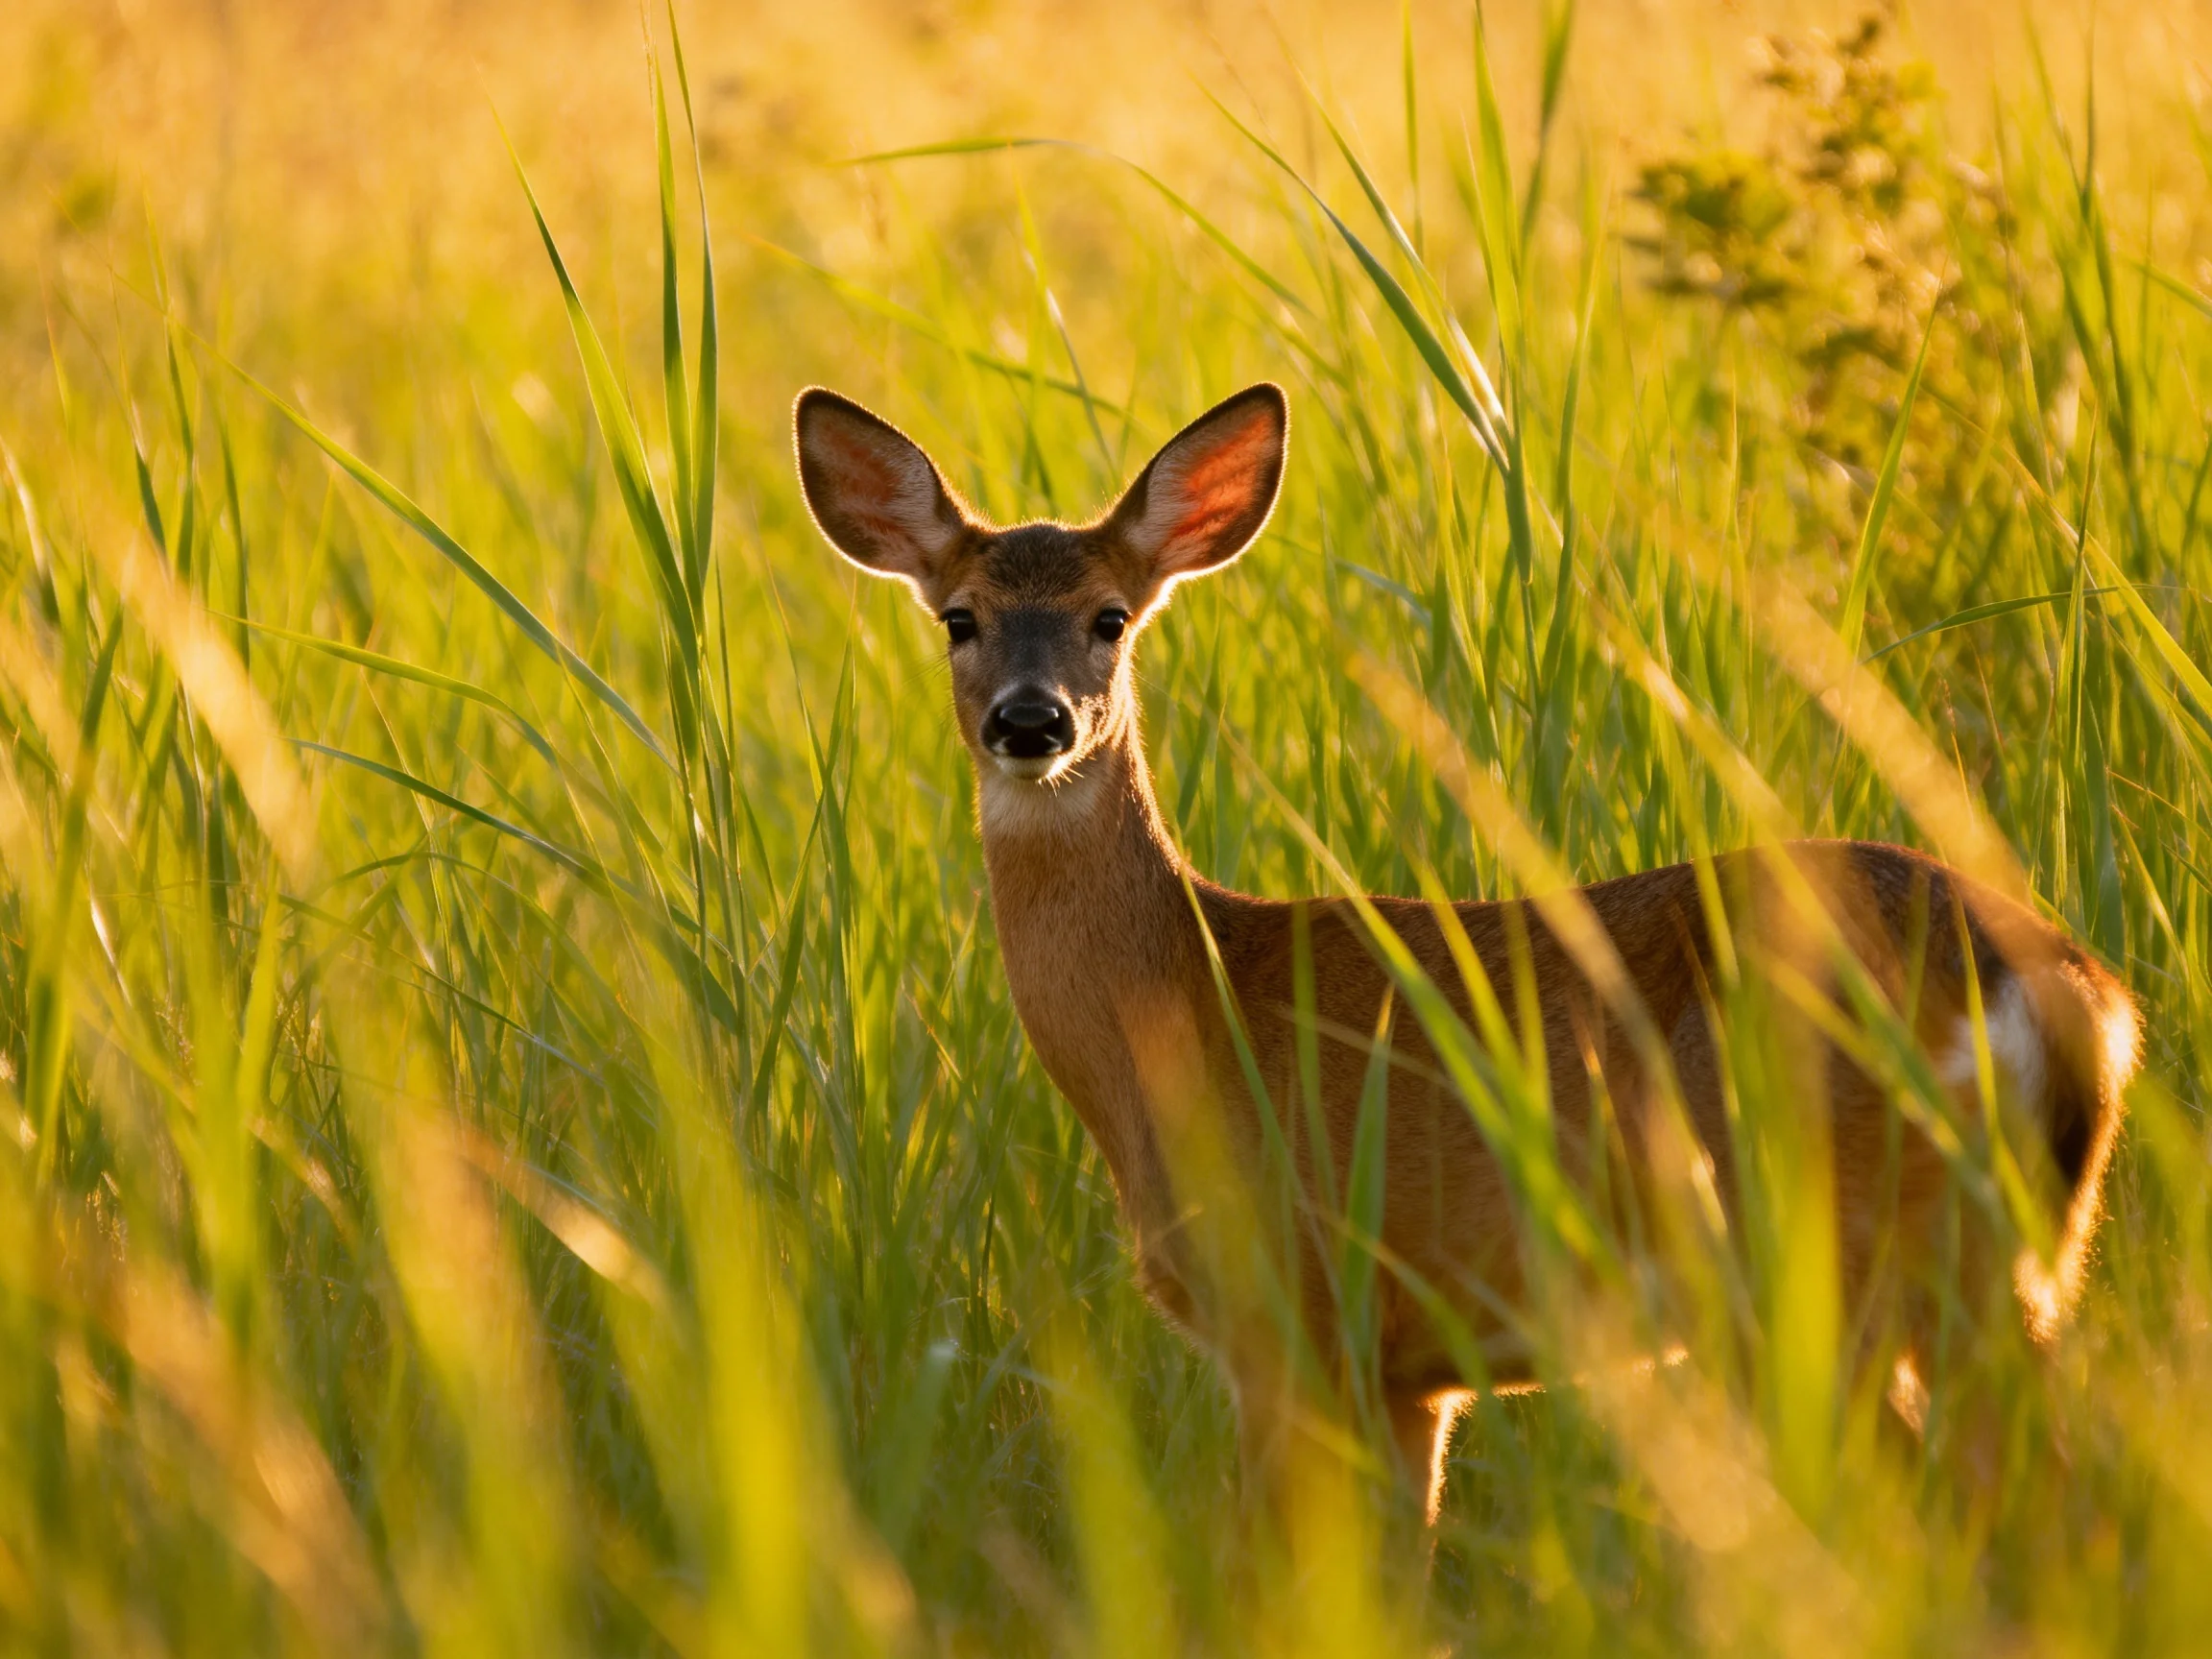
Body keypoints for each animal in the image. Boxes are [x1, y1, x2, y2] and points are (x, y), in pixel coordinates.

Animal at [792, 381, 2141, 1527]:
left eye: (1109, 619)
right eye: (959, 618)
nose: (1032, 722)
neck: (1184, 1012)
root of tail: (2066, 990)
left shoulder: (1300, 1310)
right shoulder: (1411, 1375)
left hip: (1822, 1245)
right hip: (2012, 1267)